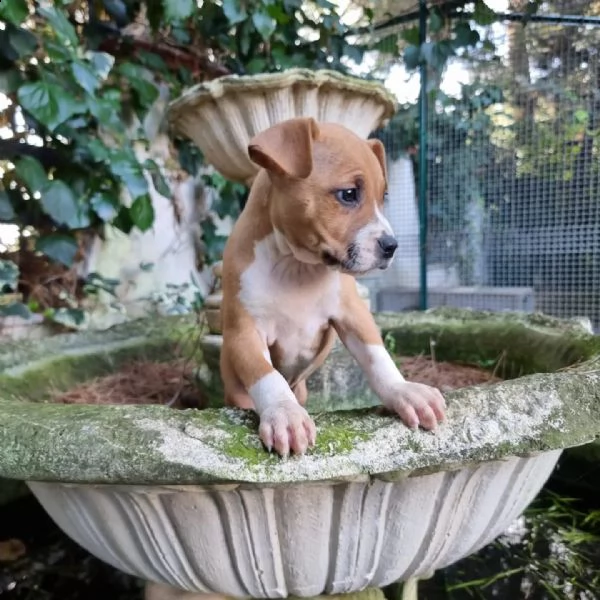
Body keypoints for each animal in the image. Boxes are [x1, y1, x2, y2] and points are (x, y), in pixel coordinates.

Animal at [220, 116, 446, 454]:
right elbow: (265, 374)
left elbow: (377, 358)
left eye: (384, 197)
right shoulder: (244, 330)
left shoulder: (353, 314)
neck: (296, 265)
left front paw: (404, 391)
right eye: (349, 194)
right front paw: (284, 413)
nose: (391, 246)